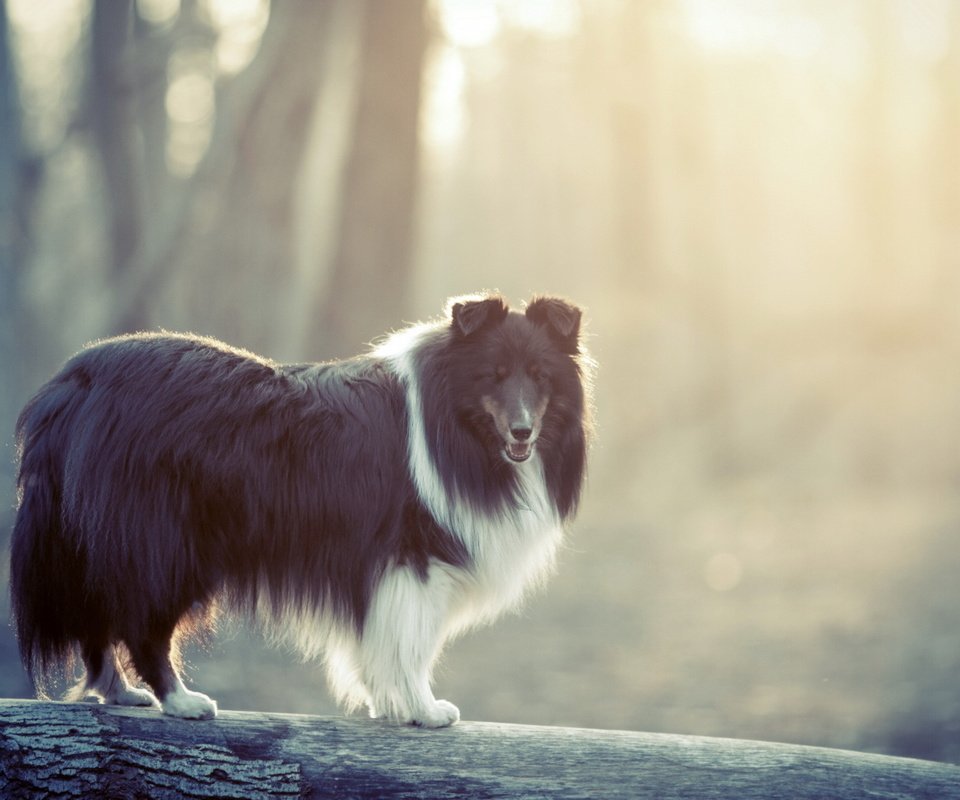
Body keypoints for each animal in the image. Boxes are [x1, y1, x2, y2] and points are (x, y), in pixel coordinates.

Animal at [11, 292, 588, 724]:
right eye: (493, 374)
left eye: (540, 375)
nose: (523, 431)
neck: (453, 420)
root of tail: (77, 379)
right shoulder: (414, 558)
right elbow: (412, 642)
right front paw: (422, 709)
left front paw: (390, 705)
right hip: (166, 542)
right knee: (141, 624)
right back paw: (181, 700)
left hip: (93, 543)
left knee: (97, 620)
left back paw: (120, 693)